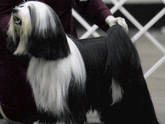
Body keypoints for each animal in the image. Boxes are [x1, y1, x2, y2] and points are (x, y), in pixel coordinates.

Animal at [6, 1, 160, 124]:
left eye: (30, 9)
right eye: (21, 5)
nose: (14, 10)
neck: (50, 56)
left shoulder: (69, 98)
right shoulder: (48, 100)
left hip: (131, 85)